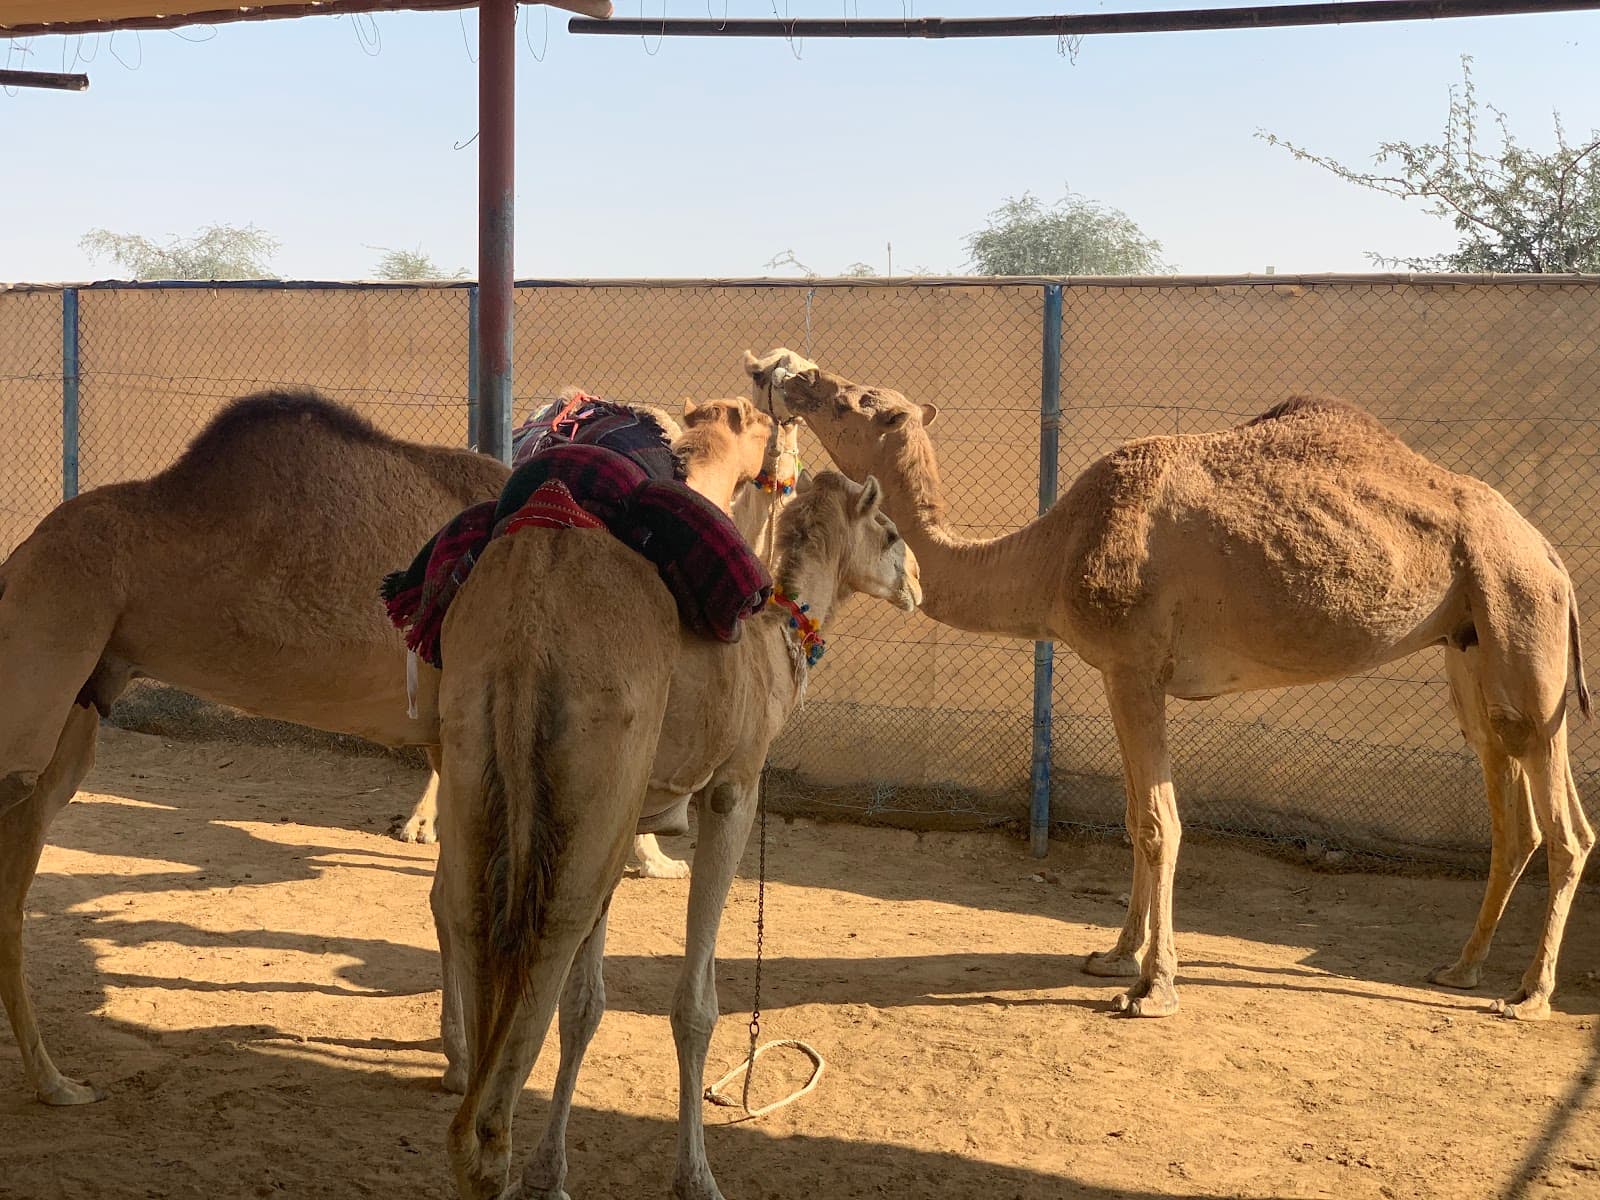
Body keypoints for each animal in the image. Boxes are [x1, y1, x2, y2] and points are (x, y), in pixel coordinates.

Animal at [432, 470, 920, 1200]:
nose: (916, 583)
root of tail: (532, 613)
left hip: (473, 743)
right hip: (592, 781)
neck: (775, 644)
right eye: (889, 532)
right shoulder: (734, 786)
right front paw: (696, 1177)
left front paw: (550, 1173)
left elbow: (585, 1005)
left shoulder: (637, 810)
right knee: (544, 945)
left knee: (469, 917)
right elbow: (694, 1006)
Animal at [750, 348, 1594, 1022]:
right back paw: (1461, 967)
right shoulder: (1121, 674)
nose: (795, 375)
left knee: (1564, 822)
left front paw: (1152, 989)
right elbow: (1135, 817)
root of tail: (1551, 553)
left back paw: (1528, 995)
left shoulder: (1135, 668)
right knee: (1507, 794)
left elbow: (1161, 822)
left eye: (853, 400)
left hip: (1524, 625)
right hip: (1471, 647)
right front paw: (1116, 956)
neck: (1051, 554)